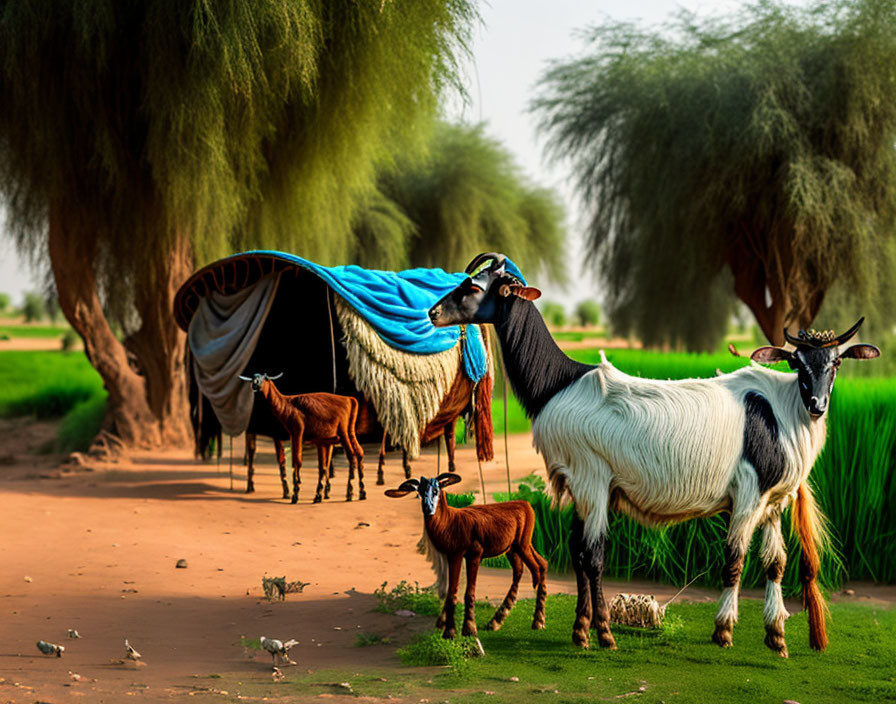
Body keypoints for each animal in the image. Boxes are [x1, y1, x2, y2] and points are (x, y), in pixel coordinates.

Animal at [242, 372, 364, 504]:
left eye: (264, 378)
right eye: (254, 377)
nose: (255, 384)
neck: (288, 404)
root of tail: (350, 400)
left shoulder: (297, 433)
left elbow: (297, 461)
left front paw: (296, 494)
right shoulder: (319, 441)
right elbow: (322, 466)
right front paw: (317, 496)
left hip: (343, 434)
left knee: (352, 456)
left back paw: (349, 494)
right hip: (350, 433)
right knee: (359, 452)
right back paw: (362, 493)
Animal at [384, 472, 544, 640]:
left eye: (436, 490)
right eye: (419, 492)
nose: (428, 508)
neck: (450, 522)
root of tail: (526, 504)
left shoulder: (474, 554)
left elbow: (469, 593)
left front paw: (468, 629)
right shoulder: (453, 555)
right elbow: (451, 591)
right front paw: (447, 629)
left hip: (522, 544)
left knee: (536, 570)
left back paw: (537, 622)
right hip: (514, 548)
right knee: (533, 566)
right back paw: (496, 622)